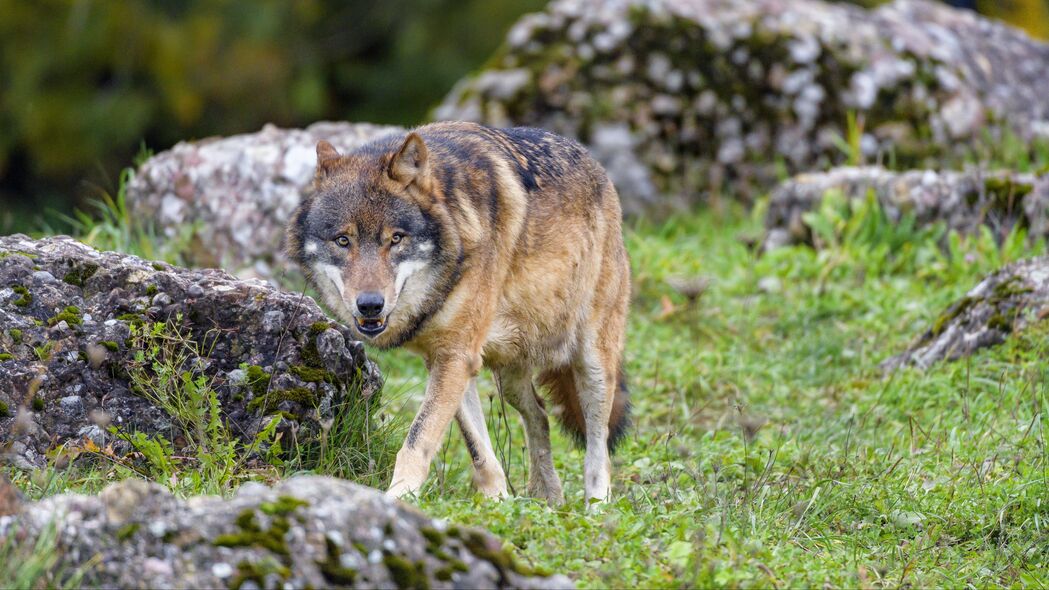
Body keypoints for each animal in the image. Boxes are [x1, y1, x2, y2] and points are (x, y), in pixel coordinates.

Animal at [283, 121, 629, 503]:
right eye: (343, 241)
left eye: (396, 239)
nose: (370, 304)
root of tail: (595, 165)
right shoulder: (446, 358)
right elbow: (479, 451)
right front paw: (497, 502)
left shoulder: (456, 356)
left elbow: (417, 441)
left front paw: (397, 500)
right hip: (508, 375)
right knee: (539, 414)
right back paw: (546, 497)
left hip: (592, 364)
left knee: (599, 447)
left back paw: (596, 505)